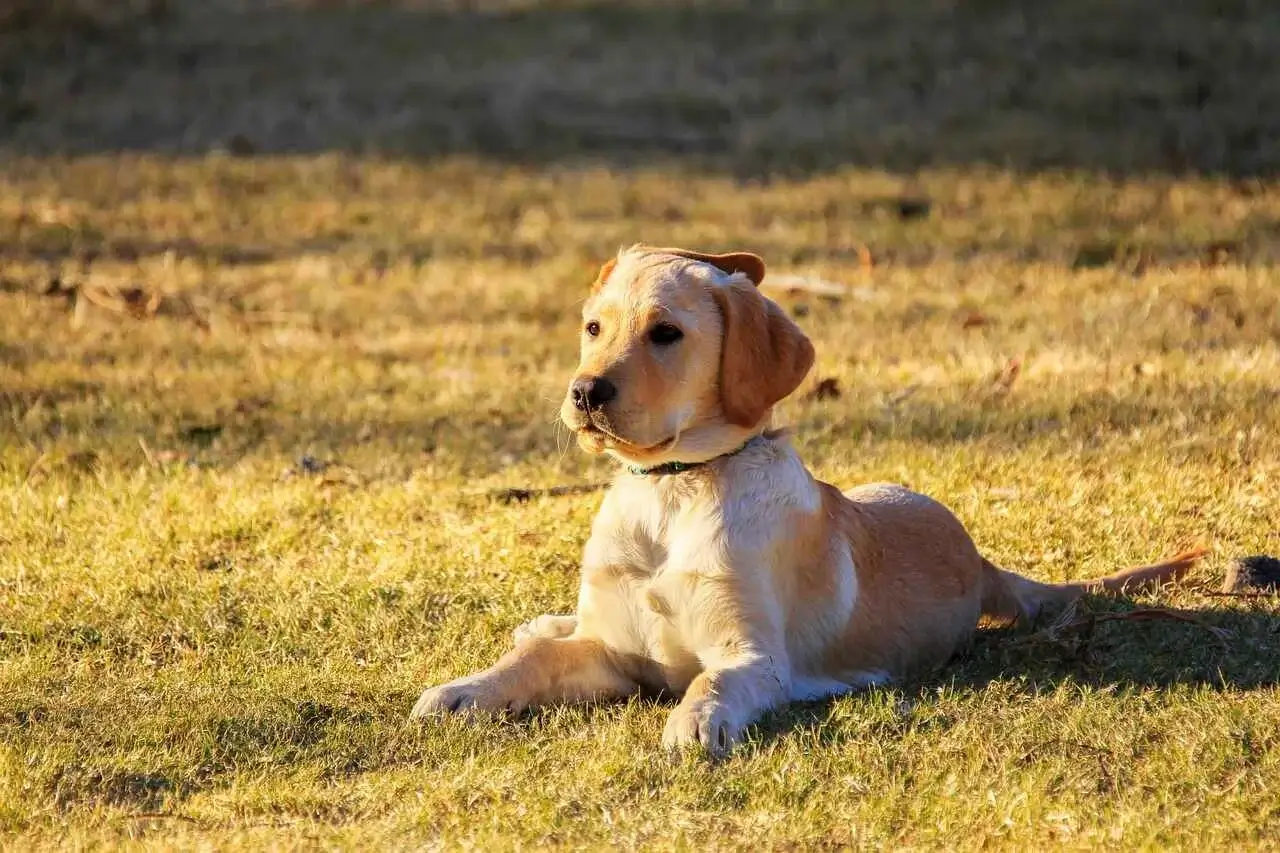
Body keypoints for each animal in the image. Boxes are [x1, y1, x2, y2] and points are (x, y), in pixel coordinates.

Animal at [412, 244, 1208, 753]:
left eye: (666, 333)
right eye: (593, 327)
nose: (584, 392)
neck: (673, 491)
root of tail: (980, 560)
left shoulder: (754, 657)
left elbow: (711, 683)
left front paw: (693, 722)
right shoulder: (610, 650)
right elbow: (534, 663)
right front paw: (464, 690)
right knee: (549, 631)